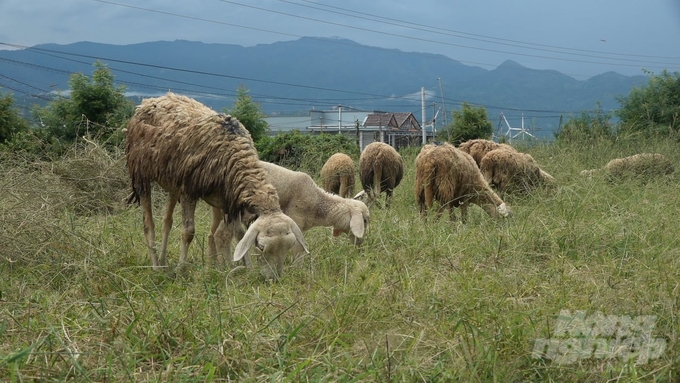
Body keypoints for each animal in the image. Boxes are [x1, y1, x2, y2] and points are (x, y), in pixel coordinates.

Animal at [125, 92, 308, 280]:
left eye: (289, 246)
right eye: (261, 246)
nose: (274, 278)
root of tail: (154, 99)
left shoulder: (231, 198)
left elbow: (240, 234)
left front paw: (248, 268)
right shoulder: (189, 191)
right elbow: (188, 232)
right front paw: (181, 269)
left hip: (173, 183)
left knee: (166, 222)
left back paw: (163, 263)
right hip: (141, 173)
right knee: (149, 224)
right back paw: (155, 266)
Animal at [209, 160, 372, 266]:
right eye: (365, 221)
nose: (360, 246)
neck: (318, 205)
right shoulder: (295, 221)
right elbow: (299, 250)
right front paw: (299, 269)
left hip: (217, 209)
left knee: (212, 235)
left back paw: (214, 265)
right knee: (222, 236)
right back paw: (228, 266)